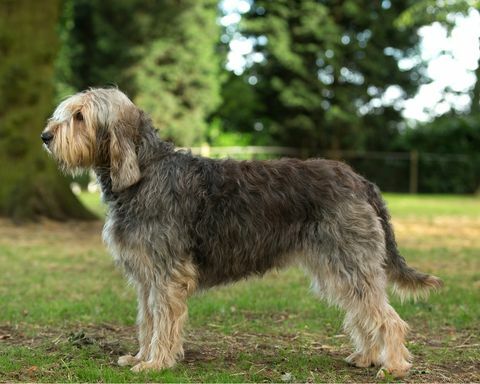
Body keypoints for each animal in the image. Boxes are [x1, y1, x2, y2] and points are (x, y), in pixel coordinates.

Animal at [42, 88, 442, 378]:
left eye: (79, 116)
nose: (45, 136)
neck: (144, 173)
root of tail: (360, 180)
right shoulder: (146, 277)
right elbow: (147, 320)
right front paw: (140, 356)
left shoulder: (167, 274)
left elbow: (163, 321)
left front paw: (155, 363)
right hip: (338, 267)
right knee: (364, 311)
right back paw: (368, 357)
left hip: (350, 262)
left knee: (387, 317)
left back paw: (394, 366)